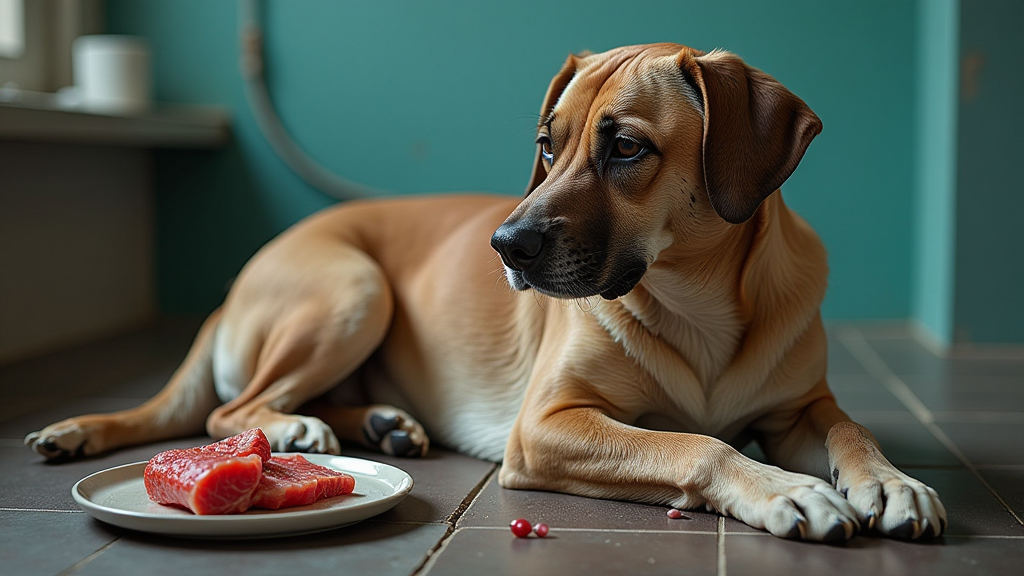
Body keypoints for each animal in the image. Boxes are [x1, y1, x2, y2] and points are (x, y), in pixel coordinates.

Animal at [28, 43, 942, 537]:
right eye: (546, 144)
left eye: (626, 148)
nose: (506, 245)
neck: (698, 301)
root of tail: (237, 282)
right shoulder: (545, 426)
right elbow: (696, 446)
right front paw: (783, 489)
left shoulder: (801, 408)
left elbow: (851, 428)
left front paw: (890, 480)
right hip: (354, 289)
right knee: (234, 407)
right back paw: (300, 425)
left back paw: (381, 423)